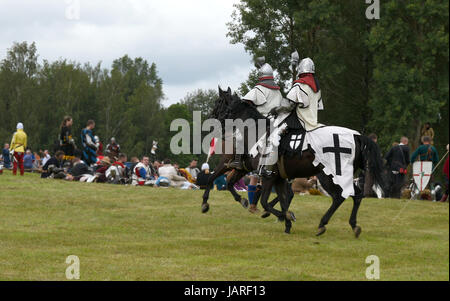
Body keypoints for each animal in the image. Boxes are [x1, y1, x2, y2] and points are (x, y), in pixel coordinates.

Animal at [202, 86, 298, 232]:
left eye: (218, 102)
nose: (211, 119)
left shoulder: (225, 164)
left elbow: (211, 179)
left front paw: (205, 203)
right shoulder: (242, 169)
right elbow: (229, 183)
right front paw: (242, 200)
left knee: (287, 193)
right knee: (288, 193)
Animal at [227, 92, 384, 236]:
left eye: (229, 109)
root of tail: (357, 136)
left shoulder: (268, 177)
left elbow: (266, 201)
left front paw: (285, 216)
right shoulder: (278, 178)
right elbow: (282, 200)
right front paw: (287, 223)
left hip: (329, 176)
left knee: (339, 197)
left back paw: (322, 224)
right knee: (356, 195)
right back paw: (353, 225)